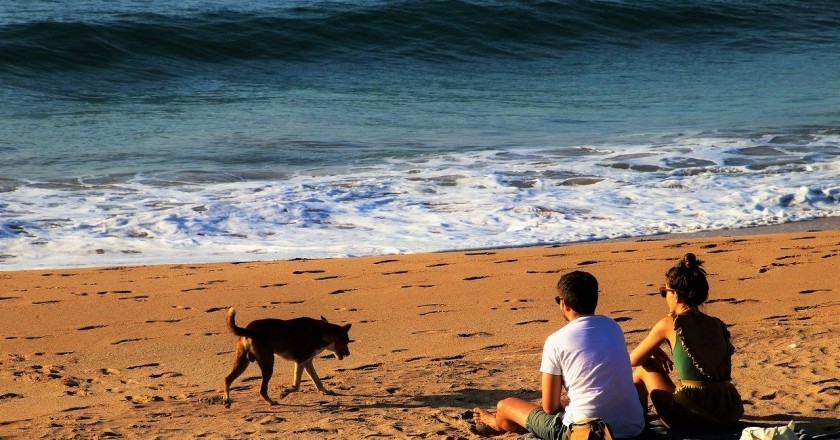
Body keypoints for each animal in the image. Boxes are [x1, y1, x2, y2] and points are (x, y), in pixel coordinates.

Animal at [221, 308, 350, 408]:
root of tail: (249, 329)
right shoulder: (300, 361)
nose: (349, 354)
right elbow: (297, 386)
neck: (323, 331)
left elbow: (317, 381)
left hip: (242, 362)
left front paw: (326, 391)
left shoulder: (307, 363)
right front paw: (284, 393)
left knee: (227, 379)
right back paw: (272, 402)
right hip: (268, 364)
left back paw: (226, 401)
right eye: (347, 341)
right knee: (262, 389)